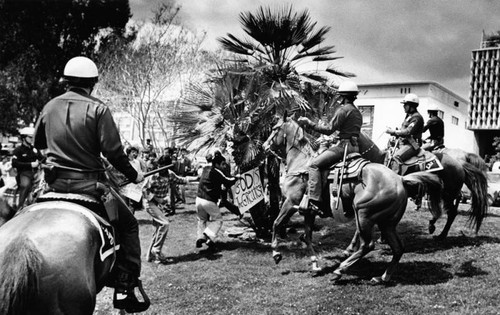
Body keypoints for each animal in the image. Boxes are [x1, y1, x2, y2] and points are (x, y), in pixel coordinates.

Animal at [262, 116, 442, 284]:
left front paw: (276, 253)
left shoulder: (290, 202)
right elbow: (307, 236)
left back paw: (340, 270)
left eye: (275, 128)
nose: (264, 146)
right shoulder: (308, 211)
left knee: (368, 245)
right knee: (398, 248)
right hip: (387, 223)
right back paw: (382, 277)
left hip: (363, 214)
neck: (301, 164)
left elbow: (276, 223)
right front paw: (315, 264)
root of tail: (400, 179)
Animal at [358, 133, 490, 239]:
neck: (379, 160)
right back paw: (433, 225)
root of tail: (460, 164)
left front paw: (383, 238)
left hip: (448, 194)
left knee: (452, 212)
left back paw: (441, 235)